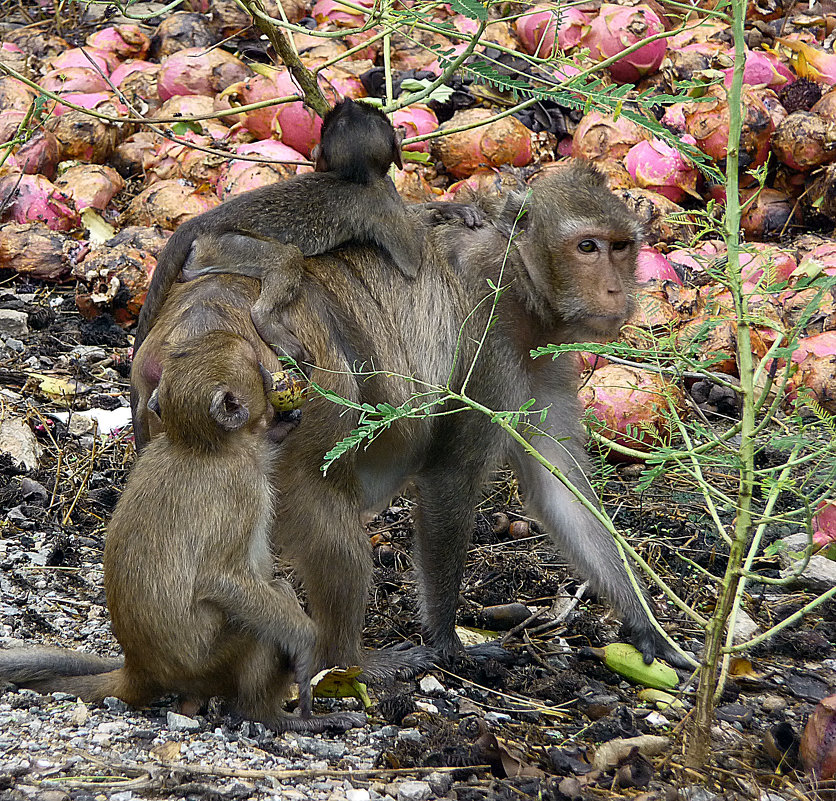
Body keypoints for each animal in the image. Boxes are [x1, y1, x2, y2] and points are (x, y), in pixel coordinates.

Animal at [0, 330, 366, 732]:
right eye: (256, 365)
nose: (274, 373)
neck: (199, 445)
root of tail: (140, 669)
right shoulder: (241, 487)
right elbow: (220, 579)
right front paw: (305, 640)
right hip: (209, 665)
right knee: (268, 612)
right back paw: (269, 715)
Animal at [136, 162, 684, 676]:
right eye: (587, 247)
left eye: (620, 247)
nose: (615, 291)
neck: (518, 275)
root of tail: (203, 324)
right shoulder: (490, 352)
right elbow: (450, 477)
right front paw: (448, 642)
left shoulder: (543, 363)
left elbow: (560, 491)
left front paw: (647, 623)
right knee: (326, 510)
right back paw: (354, 663)